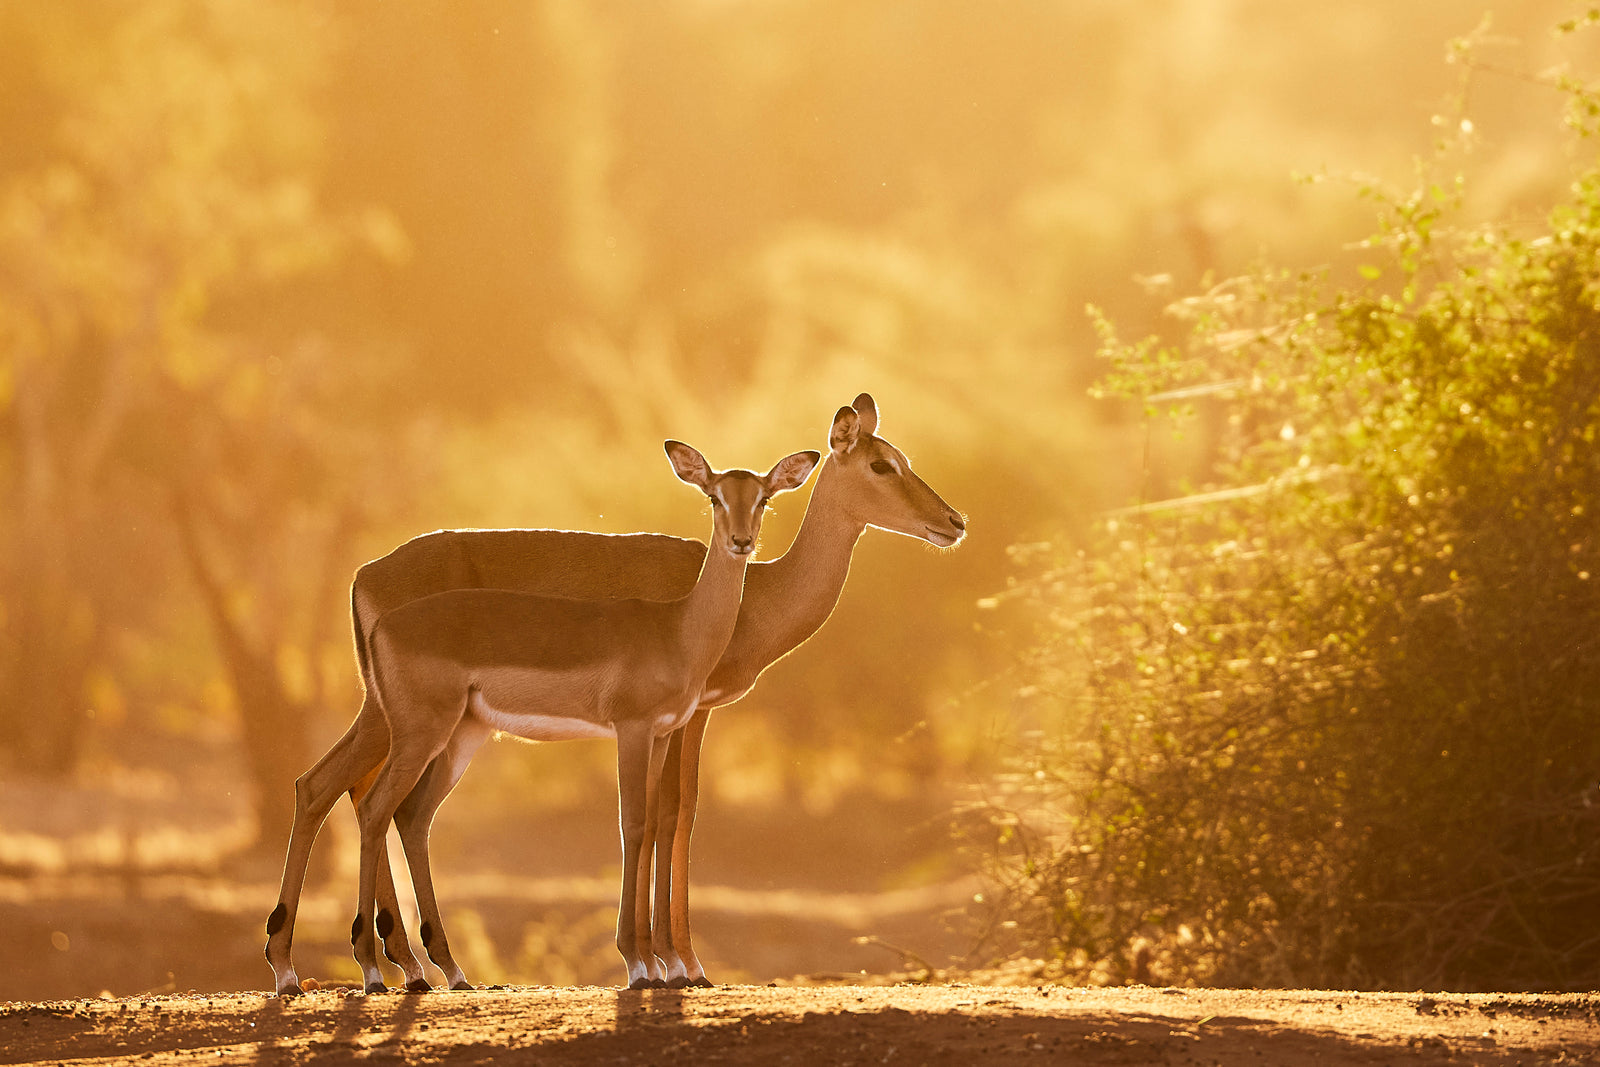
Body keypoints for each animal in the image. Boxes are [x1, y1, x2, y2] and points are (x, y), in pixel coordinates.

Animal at [265, 394, 966, 993]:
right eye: (882, 463)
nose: (953, 521)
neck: (753, 600)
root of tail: (364, 575)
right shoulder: (680, 718)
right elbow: (670, 817)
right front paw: (674, 963)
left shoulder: (681, 720)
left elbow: (669, 815)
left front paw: (673, 962)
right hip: (406, 720)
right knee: (345, 793)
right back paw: (334, 969)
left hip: (425, 723)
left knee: (346, 792)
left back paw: (406, 967)